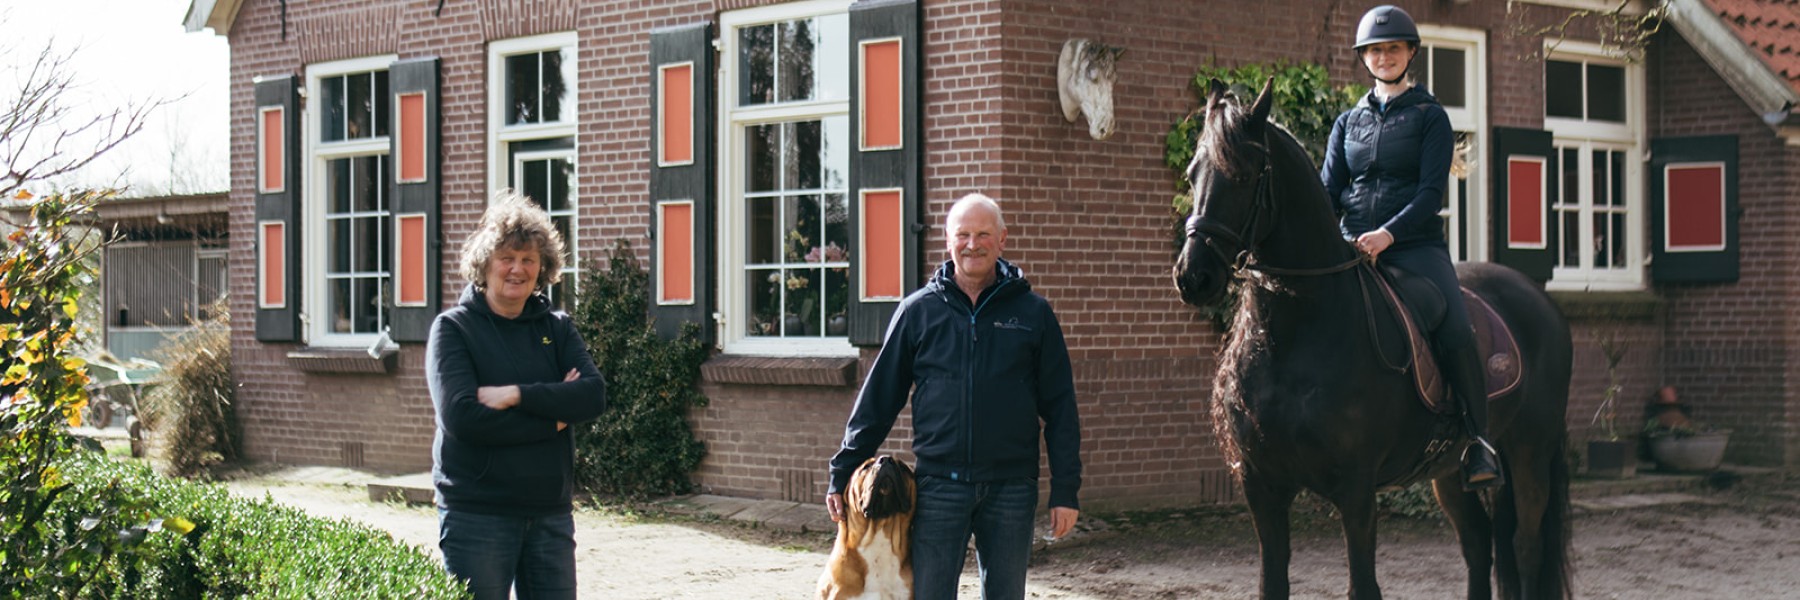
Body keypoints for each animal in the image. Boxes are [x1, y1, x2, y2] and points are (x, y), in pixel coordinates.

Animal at [1171, 78, 1574, 600]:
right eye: (1192, 173)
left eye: (1242, 175)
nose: (1192, 276)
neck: (1292, 339)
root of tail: (1540, 299)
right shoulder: (1262, 485)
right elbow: (1272, 581)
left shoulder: (1356, 489)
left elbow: (1363, 584)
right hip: (1451, 472)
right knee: (1479, 542)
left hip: (1529, 452)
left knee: (1525, 547)